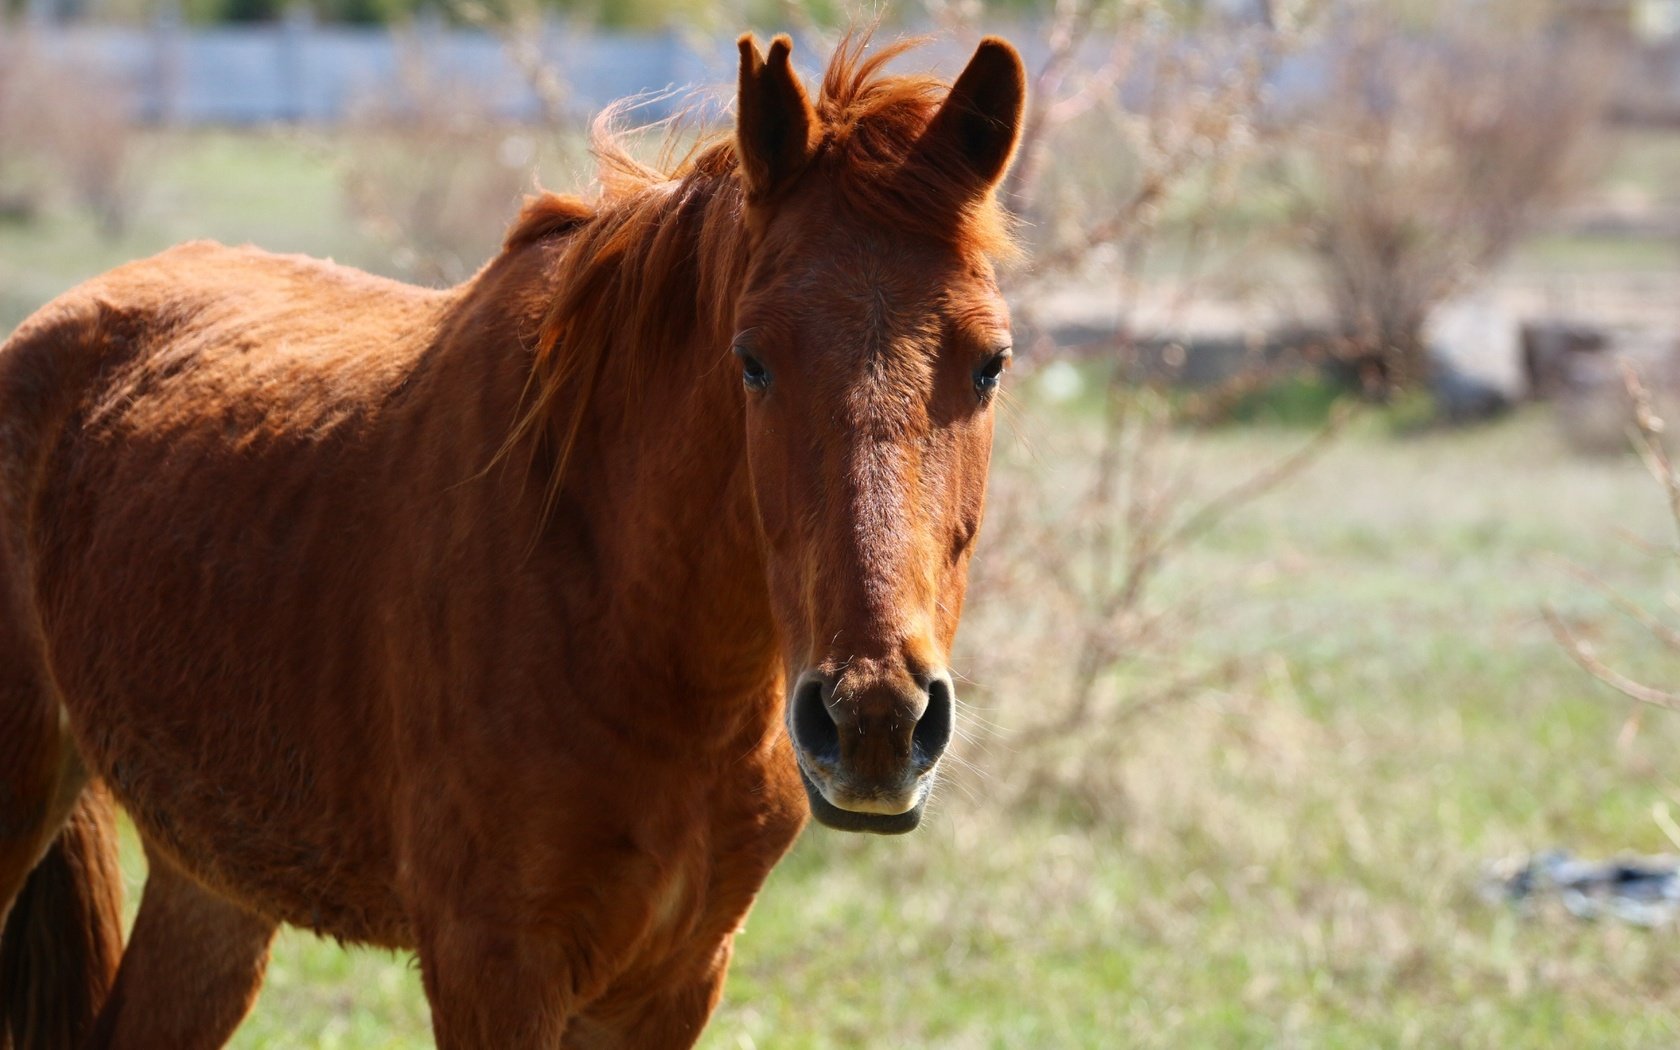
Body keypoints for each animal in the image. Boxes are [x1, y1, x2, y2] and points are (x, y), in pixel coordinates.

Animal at [0, 28, 1021, 1041]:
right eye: (752, 360)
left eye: (992, 364)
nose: (874, 721)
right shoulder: (491, 967)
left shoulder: (675, 978)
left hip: (214, 888)